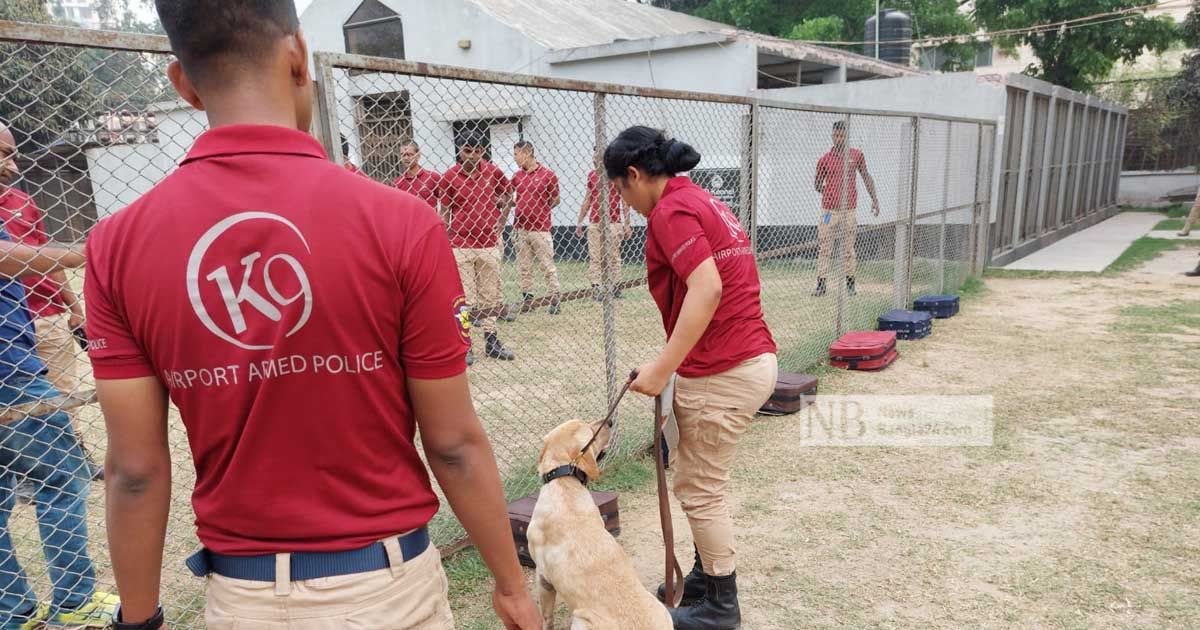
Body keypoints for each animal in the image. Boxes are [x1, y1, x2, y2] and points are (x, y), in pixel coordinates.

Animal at [528, 417, 672, 628]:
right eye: (590, 430)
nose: (610, 421)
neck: (565, 483)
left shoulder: (543, 577)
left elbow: (546, 618)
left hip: (580, 620)